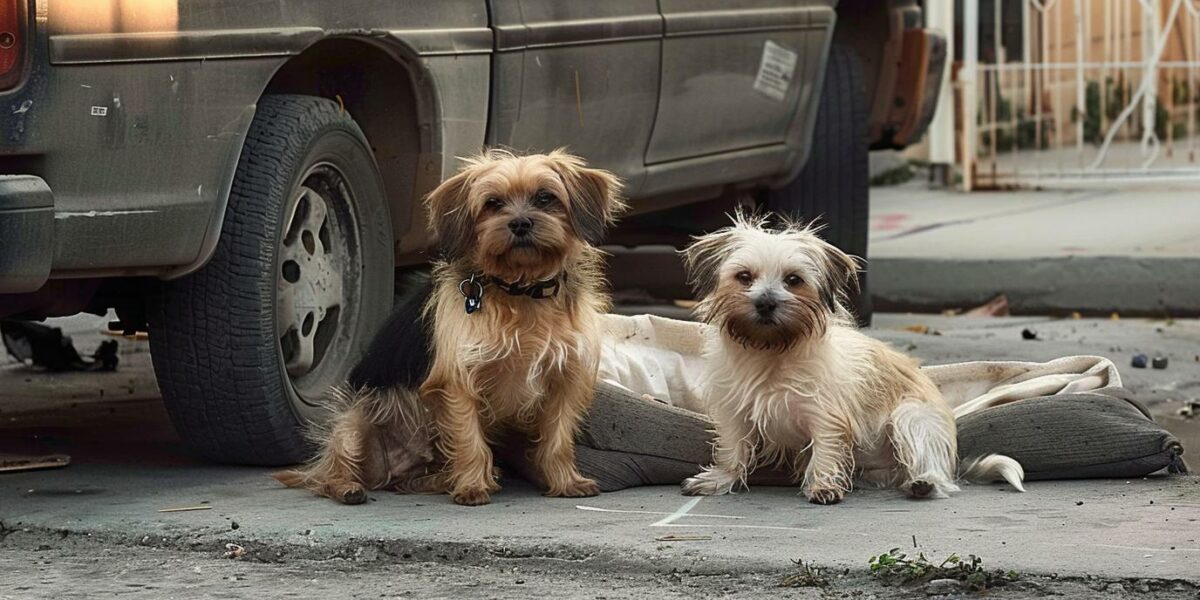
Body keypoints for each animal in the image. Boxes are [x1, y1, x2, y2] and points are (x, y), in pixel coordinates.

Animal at [274, 150, 624, 506]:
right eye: (493, 203)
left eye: (545, 197)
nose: (520, 223)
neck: (521, 291)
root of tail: (394, 470)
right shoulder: (458, 382)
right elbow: (469, 440)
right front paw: (472, 487)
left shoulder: (564, 380)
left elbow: (557, 440)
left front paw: (566, 481)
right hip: (355, 418)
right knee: (331, 471)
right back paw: (347, 487)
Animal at [681, 213, 1027, 504]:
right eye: (744, 276)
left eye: (793, 280)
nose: (765, 303)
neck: (772, 351)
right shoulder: (735, 414)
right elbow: (733, 449)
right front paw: (721, 479)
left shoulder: (826, 415)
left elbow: (825, 450)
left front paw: (823, 485)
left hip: (910, 418)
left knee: (934, 471)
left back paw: (925, 483)